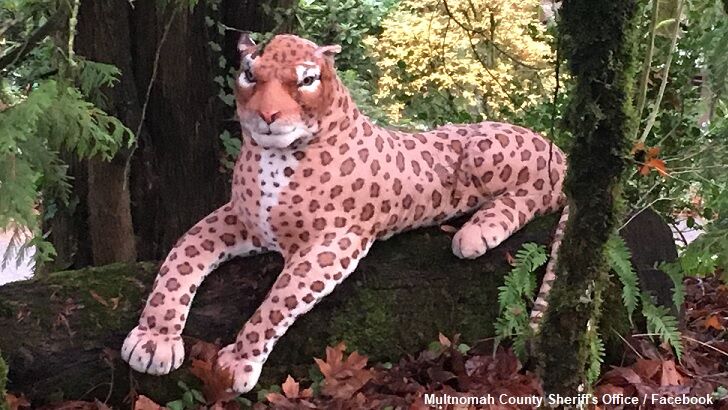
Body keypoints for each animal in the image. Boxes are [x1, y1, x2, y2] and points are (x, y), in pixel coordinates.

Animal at [121, 33, 569, 394]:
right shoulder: (241, 219)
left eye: (306, 80)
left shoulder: (335, 244)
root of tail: (557, 148)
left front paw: (239, 362)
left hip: (486, 153)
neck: (271, 158)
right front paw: (153, 340)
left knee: (539, 195)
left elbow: (278, 300)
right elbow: (181, 258)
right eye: (250, 75)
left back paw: (477, 232)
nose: (267, 117)